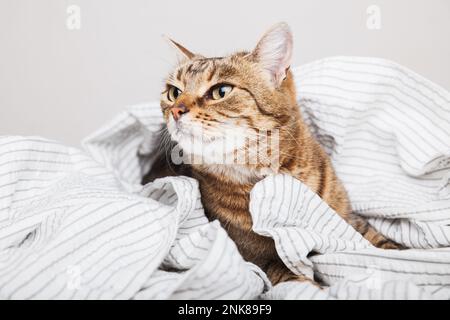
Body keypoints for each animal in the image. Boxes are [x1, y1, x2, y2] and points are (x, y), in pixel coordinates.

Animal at [143, 23, 400, 286]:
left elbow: (382, 245)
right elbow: (295, 276)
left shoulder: (348, 220)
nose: (176, 109)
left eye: (221, 91)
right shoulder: (258, 259)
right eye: (174, 92)